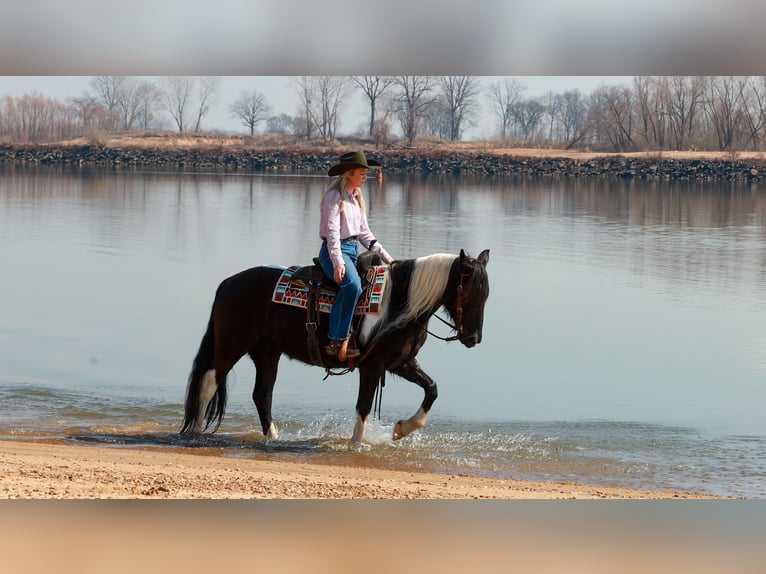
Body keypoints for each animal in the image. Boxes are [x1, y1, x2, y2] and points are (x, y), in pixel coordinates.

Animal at [181, 248, 490, 443]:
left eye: (486, 294)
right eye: (471, 294)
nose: (474, 339)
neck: (399, 305)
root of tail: (228, 283)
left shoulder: (401, 363)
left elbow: (431, 389)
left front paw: (402, 429)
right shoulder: (372, 366)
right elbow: (363, 407)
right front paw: (356, 444)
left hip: (267, 352)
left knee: (262, 395)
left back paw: (274, 437)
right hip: (231, 346)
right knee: (208, 383)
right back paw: (196, 432)